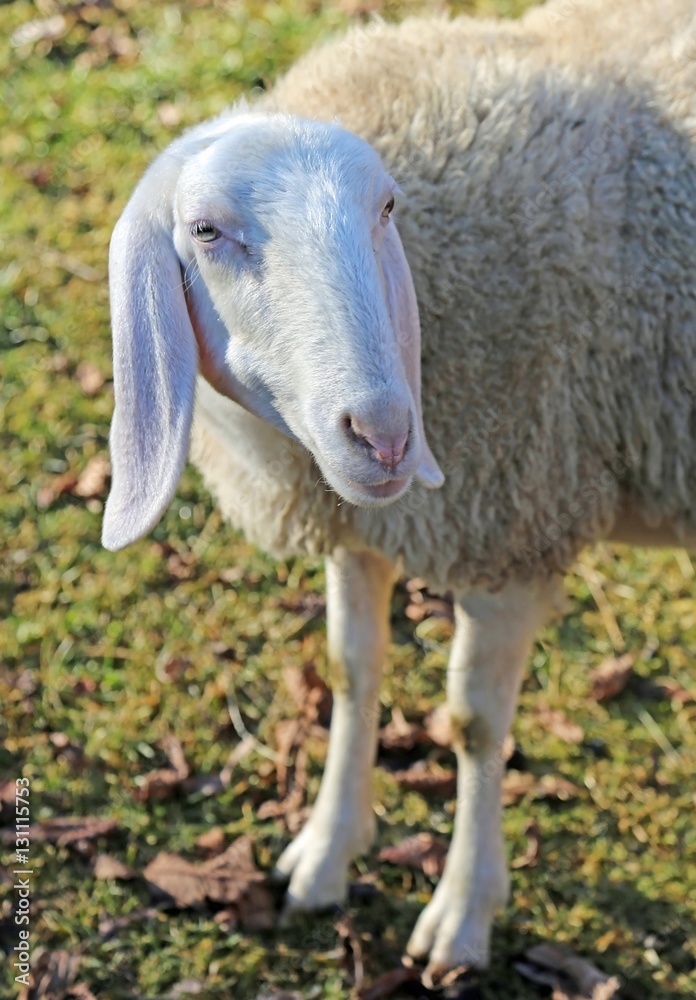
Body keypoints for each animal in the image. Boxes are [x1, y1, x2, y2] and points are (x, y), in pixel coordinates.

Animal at [102, 0, 696, 982]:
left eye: (385, 209)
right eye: (207, 232)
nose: (385, 433)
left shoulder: (511, 519)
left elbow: (474, 726)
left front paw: (463, 909)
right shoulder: (364, 527)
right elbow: (352, 670)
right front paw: (325, 852)